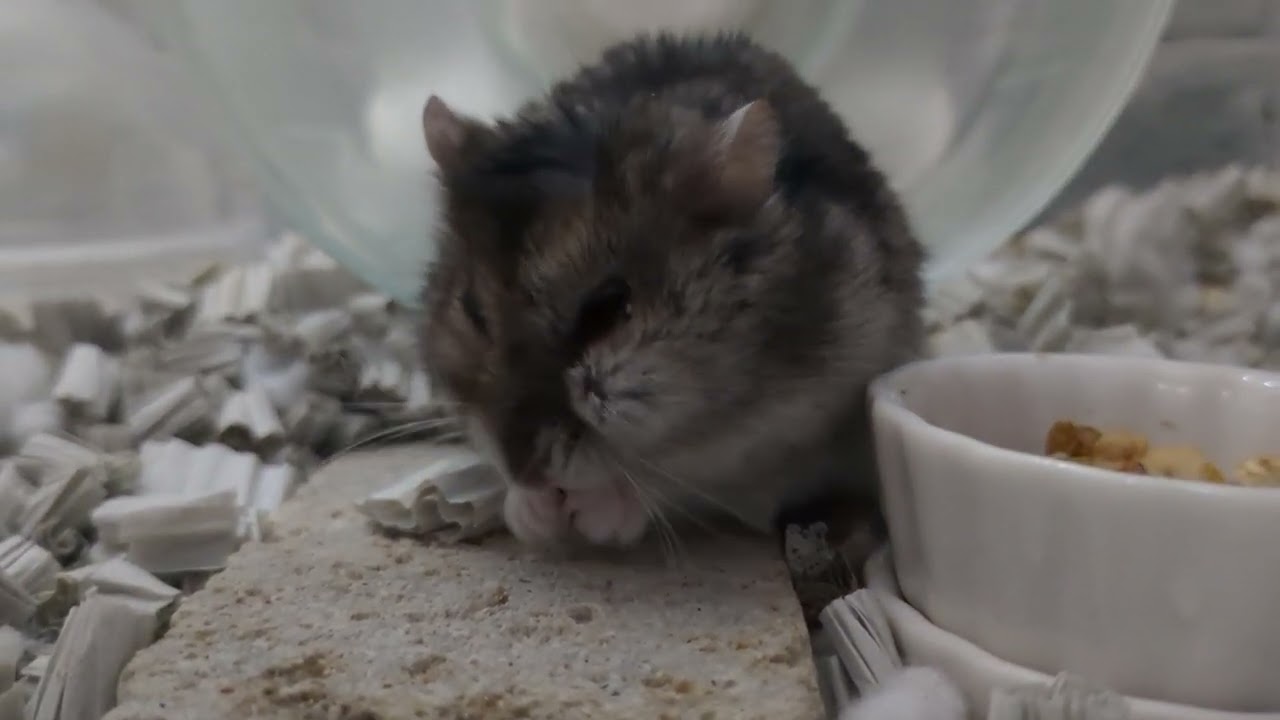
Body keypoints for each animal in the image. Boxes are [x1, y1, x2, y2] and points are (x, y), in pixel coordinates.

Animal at [418, 32, 925, 548]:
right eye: (472, 310)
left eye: (609, 307)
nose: (526, 473)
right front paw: (531, 515)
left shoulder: (792, 421)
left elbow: (682, 478)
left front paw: (594, 512)